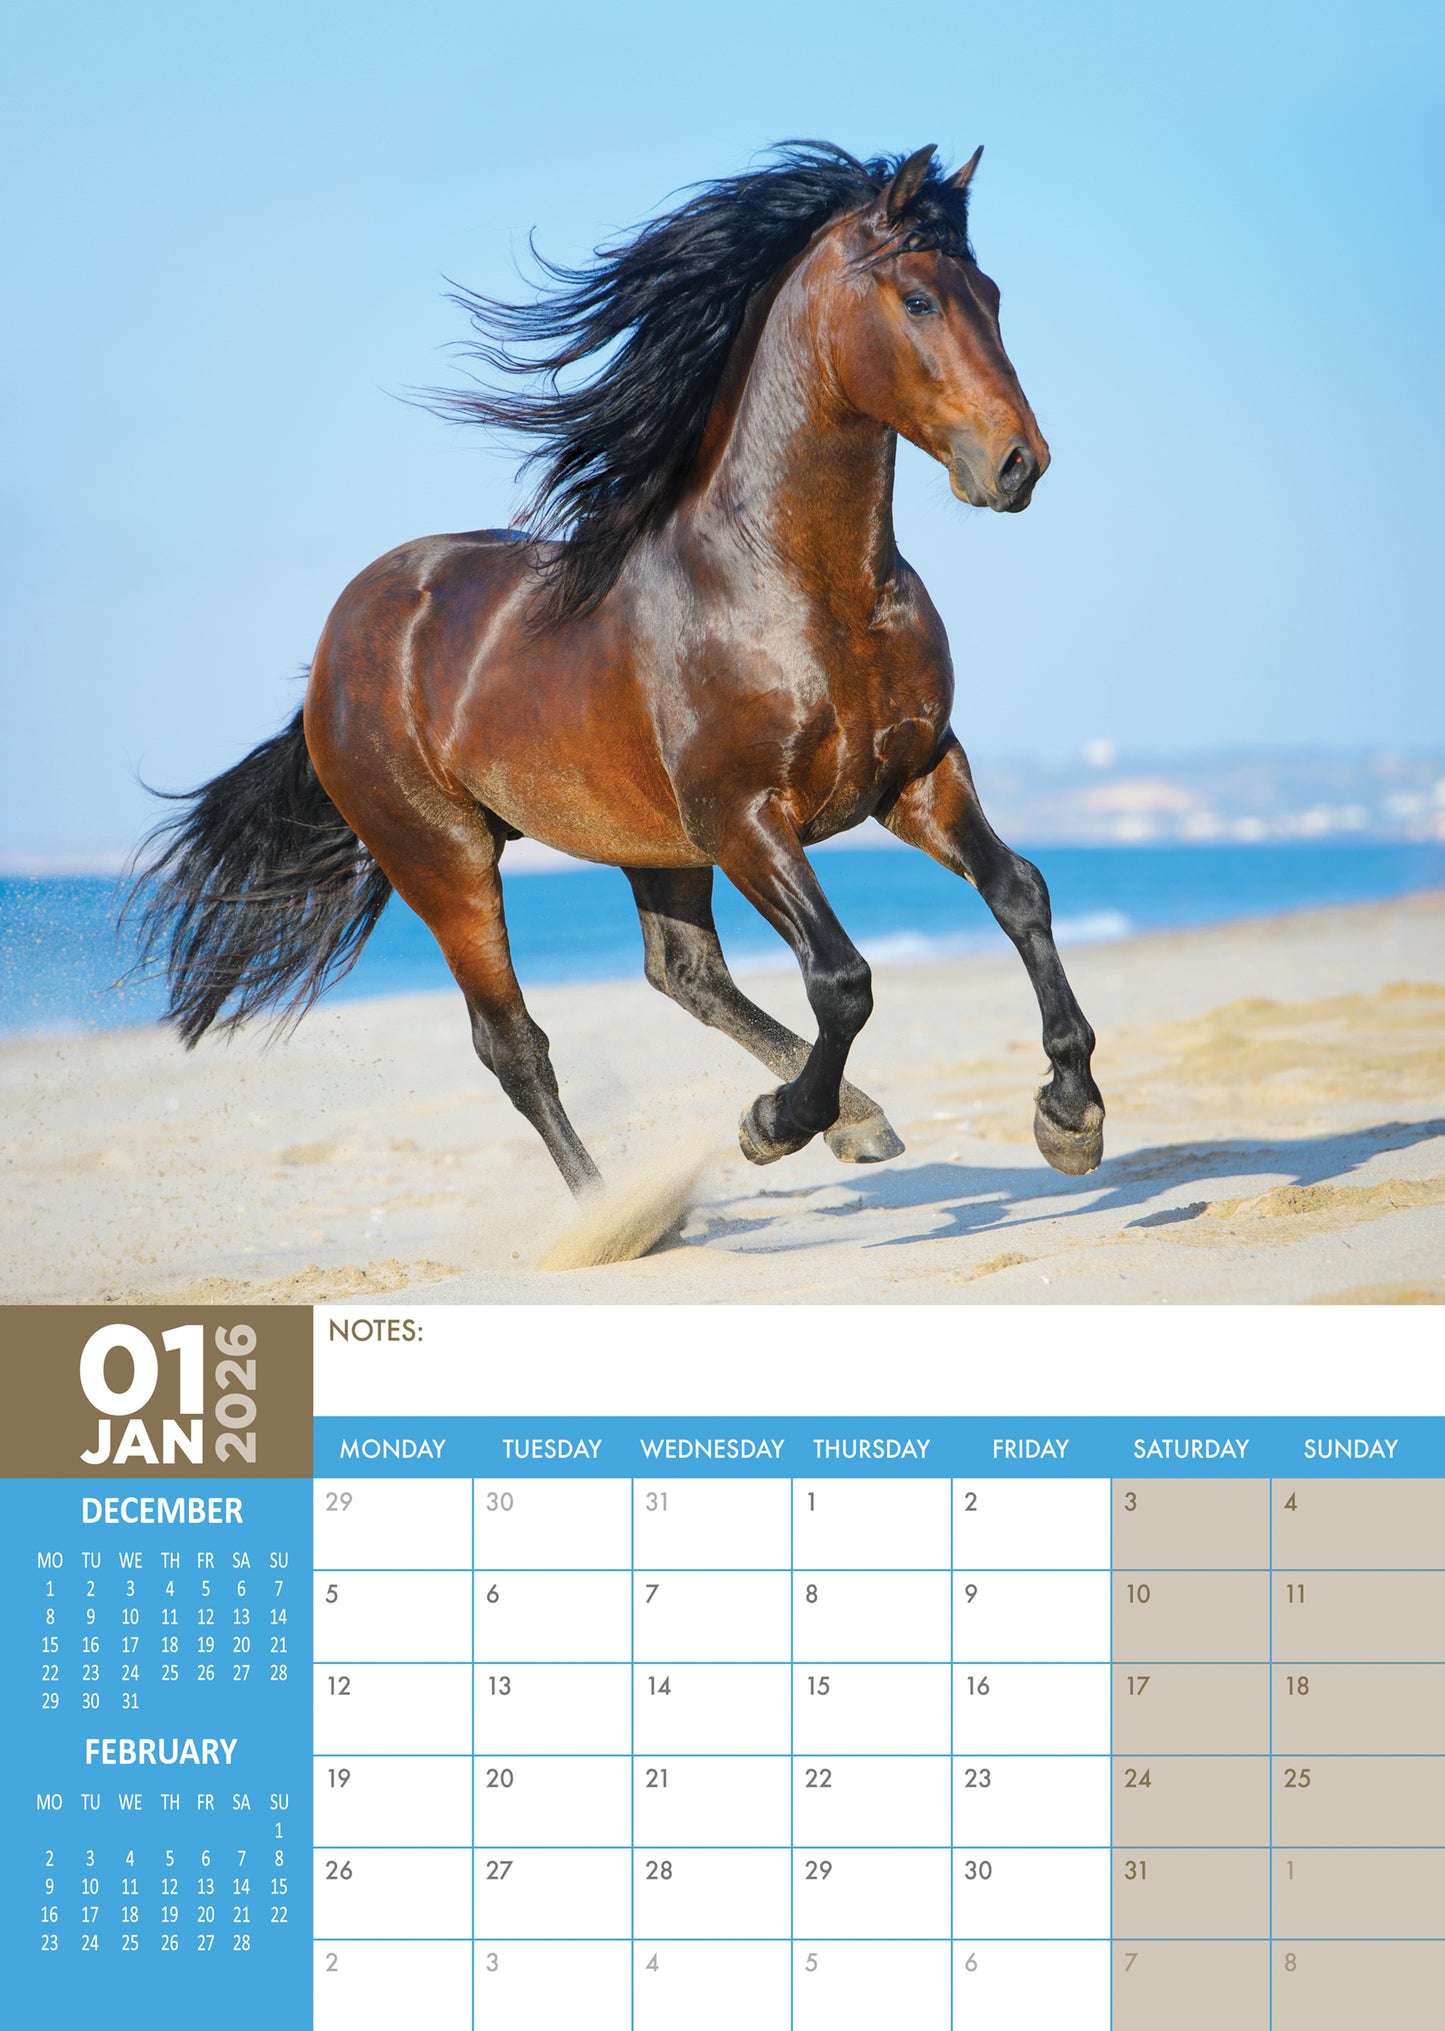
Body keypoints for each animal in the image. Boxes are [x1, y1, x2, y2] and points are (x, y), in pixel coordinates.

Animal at [134, 140, 1105, 1204]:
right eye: (920, 299)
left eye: (992, 294)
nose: (1017, 463)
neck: (803, 589)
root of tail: (336, 647)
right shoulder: (742, 817)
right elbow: (842, 979)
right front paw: (773, 1125)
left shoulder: (917, 773)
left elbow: (1019, 892)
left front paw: (1070, 1113)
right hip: (445, 860)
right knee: (515, 1043)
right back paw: (614, 1210)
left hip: (650, 840)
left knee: (683, 972)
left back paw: (854, 1120)